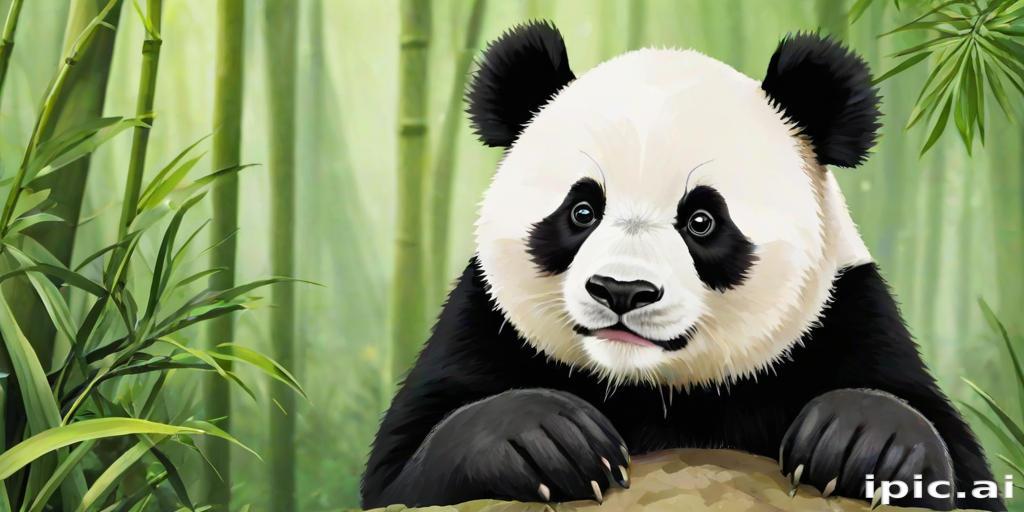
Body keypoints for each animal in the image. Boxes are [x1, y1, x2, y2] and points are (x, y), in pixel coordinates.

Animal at [360, 21, 1002, 511]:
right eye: (582, 210)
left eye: (701, 221)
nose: (622, 291)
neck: (653, 385)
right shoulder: (483, 318)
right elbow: (402, 467)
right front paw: (549, 441)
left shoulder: (846, 313)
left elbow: (959, 466)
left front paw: (862, 440)